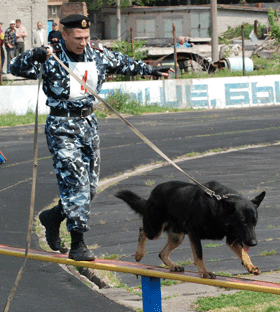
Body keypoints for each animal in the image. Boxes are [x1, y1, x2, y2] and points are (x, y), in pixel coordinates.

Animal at [115, 180, 266, 278]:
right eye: (243, 222)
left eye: (255, 223)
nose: (254, 243)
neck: (219, 208)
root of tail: (151, 195)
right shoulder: (194, 233)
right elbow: (199, 255)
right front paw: (204, 272)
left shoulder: (233, 240)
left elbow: (244, 253)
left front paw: (250, 266)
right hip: (155, 230)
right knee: (142, 230)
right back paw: (139, 254)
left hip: (178, 237)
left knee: (162, 253)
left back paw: (173, 266)